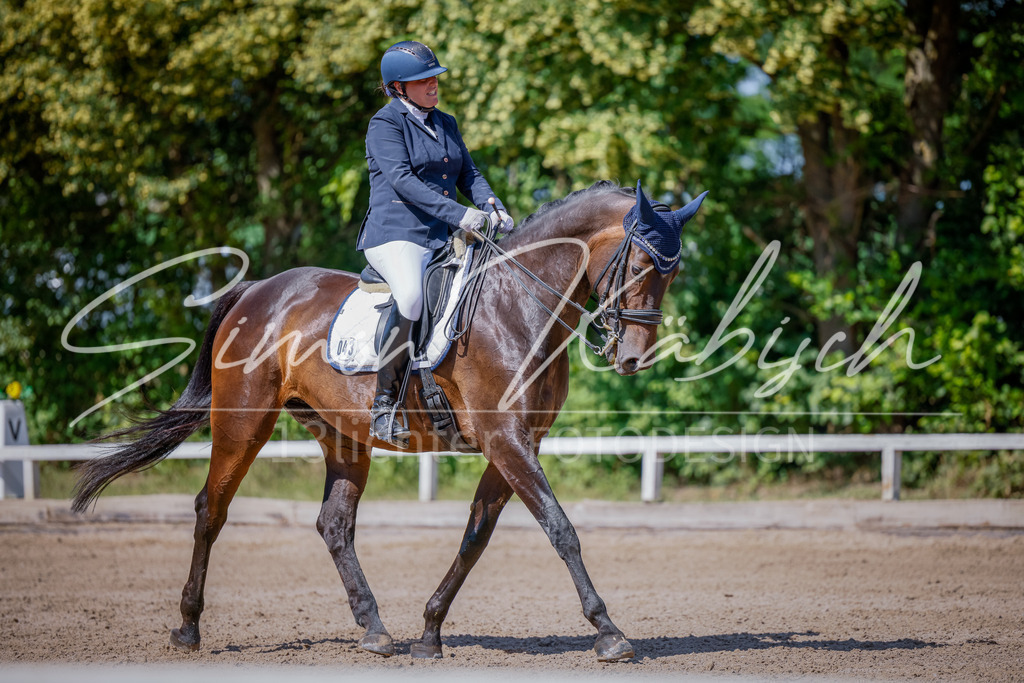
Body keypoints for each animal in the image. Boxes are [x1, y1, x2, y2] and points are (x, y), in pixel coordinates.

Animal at [72, 180, 707, 662]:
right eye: (642, 263)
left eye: (672, 273)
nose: (633, 358)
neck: (519, 305)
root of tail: (256, 291)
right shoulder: (507, 440)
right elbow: (561, 530)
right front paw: (609, 633)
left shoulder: (513, 444)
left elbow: (476, 537)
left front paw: (429, 632)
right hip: (243, 422)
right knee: (212, 509)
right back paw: (187, 627)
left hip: (343, 435)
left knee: (334, 525)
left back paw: (376, 630)